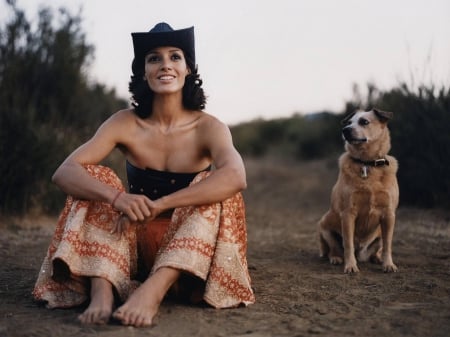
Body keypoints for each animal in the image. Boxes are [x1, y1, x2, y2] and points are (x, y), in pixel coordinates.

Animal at [318, 109, 400, 272]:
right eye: (349, 122)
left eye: (364, 122)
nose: (345, 130)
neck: (367, 163)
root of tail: (361, 253)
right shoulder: (348, 213)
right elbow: (348, 243)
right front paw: (350, 266)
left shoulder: (388, 214)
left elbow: (388, 244)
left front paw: (388, 264)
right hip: (324, 227)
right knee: (334, 249)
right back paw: (336, 258)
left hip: (378, 235)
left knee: (378, 248)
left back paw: (377, 258)